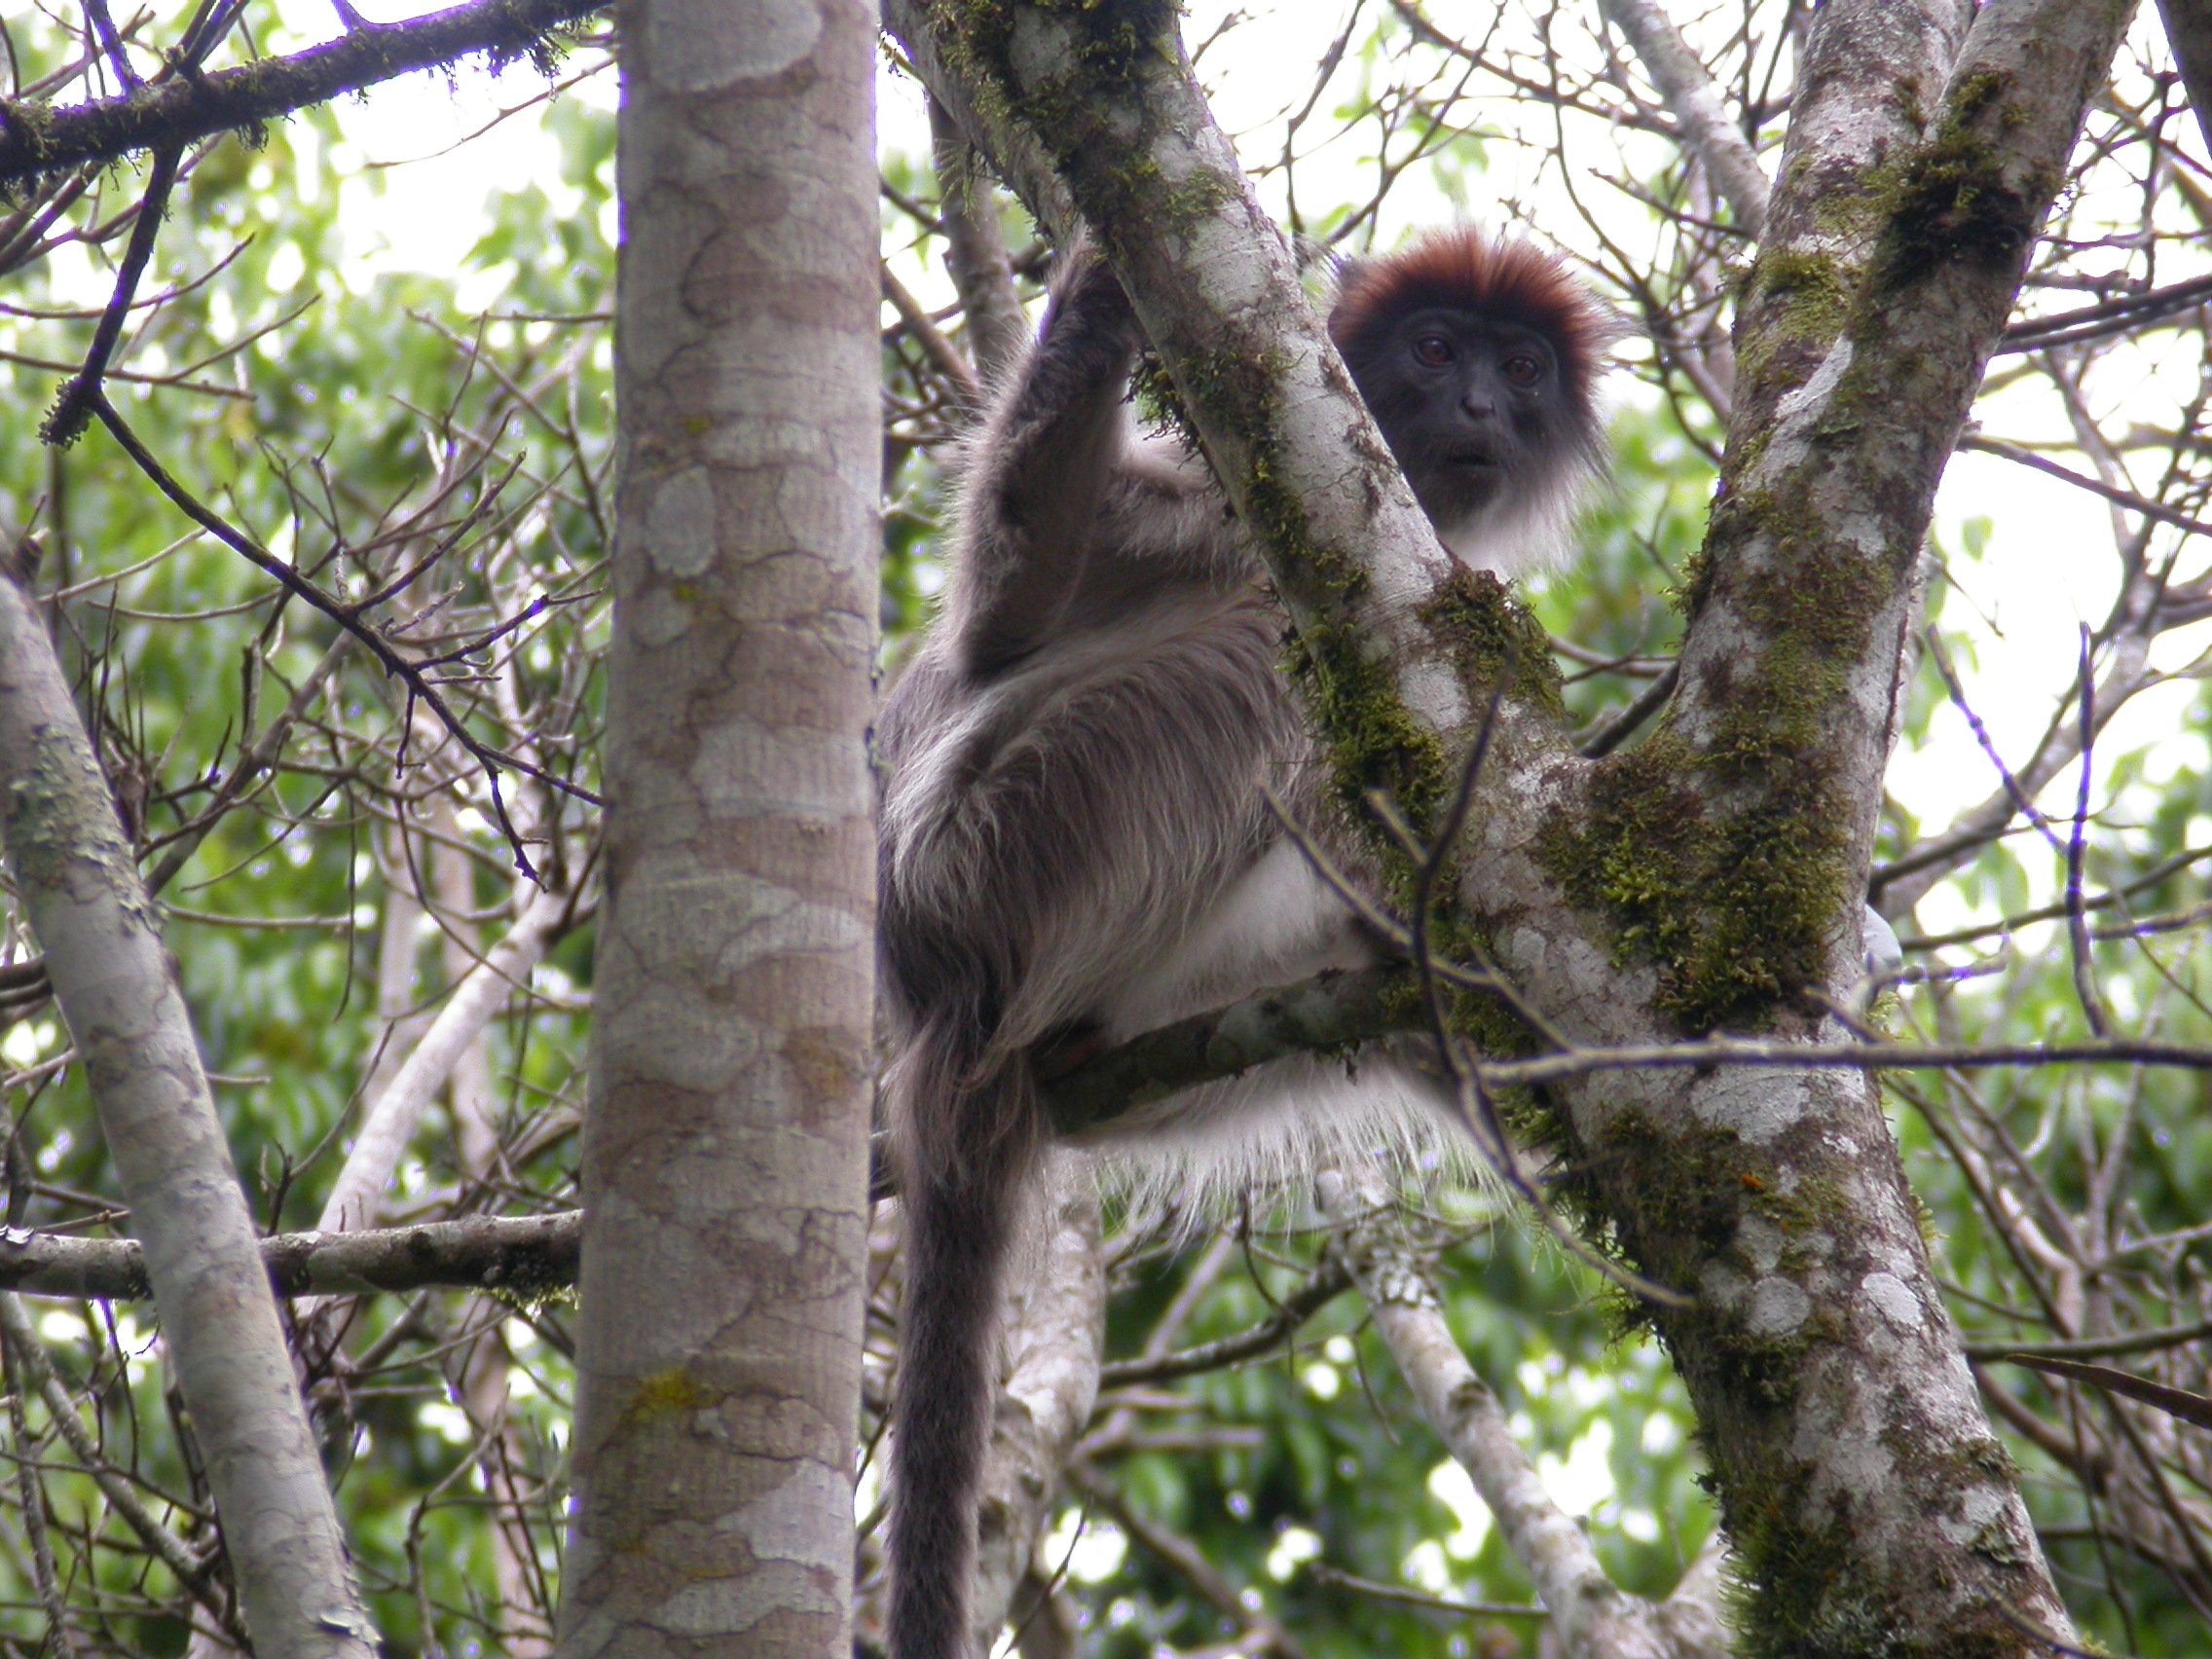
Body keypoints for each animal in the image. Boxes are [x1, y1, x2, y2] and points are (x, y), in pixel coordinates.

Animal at [873, 228, 1613, 1659]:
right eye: (1434, 349)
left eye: (1521, 369)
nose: (1481, 407)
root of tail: (932, 1003)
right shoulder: (1219, 509)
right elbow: (1001, 620)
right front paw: (1097, 297)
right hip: (1026, 841)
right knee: (1264, 657)